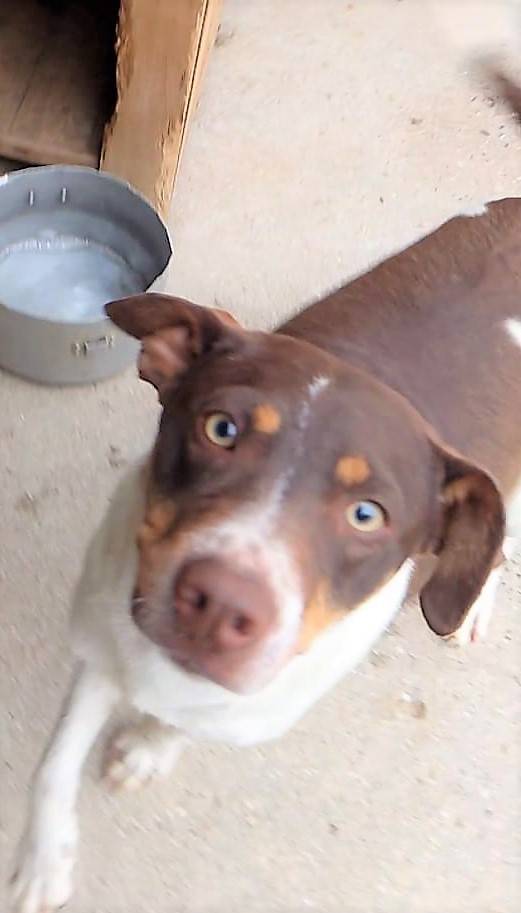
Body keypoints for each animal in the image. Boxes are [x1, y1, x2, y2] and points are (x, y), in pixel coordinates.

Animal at [10, 73, 521, 913]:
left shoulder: (252, 701)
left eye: (366, 514)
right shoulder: (100, 640)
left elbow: (187, 726)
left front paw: (149, 747)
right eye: (221, 428)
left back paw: (474, 599)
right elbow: (54, 762)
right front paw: (42, 861)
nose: (220, 604)